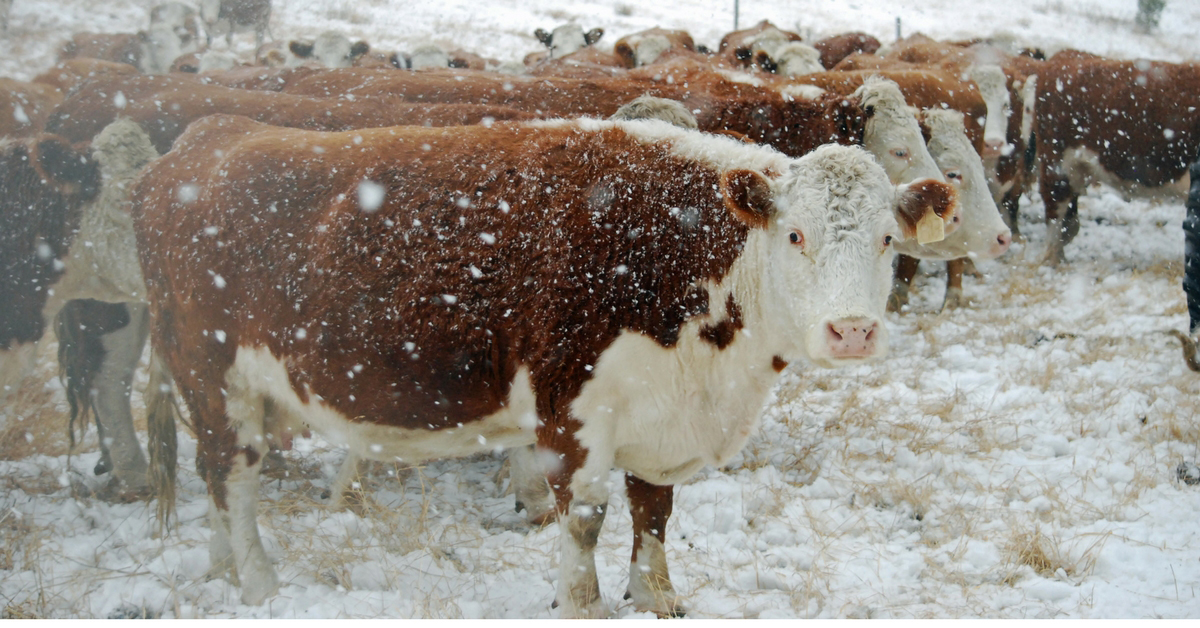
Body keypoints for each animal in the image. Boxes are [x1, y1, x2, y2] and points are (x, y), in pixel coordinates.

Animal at [133, 112, 955, 614]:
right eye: (795, 236)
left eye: (887, 238)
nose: (852, 331)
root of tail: (204, 140)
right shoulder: (573, 412)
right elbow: (586, 522)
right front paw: (582, 603)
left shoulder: (660, 421)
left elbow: (654, 513)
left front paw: (657, 598)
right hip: (213, 372)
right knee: (234, 474)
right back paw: (257, 580)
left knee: (214, 473)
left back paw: (219, 566)